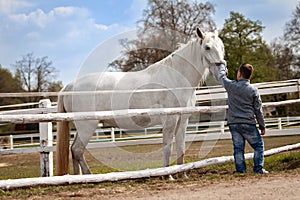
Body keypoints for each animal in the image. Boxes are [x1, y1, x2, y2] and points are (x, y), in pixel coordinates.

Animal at [56, 27, 225, 175]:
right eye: (207, 47)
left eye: (222, 46)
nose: (221, 70)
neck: (176, 78)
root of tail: (69, 87)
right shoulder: (170, 120)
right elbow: (167, 147)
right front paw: (167, 175)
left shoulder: (182, 120)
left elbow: (181, 148)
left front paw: (182, 174)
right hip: (87, 126)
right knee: (77, 150)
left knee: (74, 150)